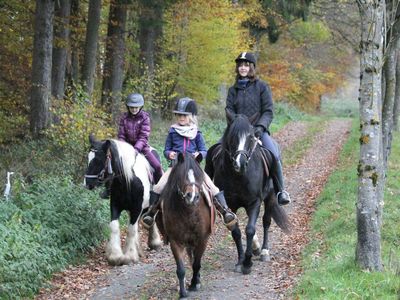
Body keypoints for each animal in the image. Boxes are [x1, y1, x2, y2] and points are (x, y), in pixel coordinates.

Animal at [85, 135, 162, 266]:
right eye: (88, 158)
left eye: (99, 160)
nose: (87, 183)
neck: (128, 181)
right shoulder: (115, 205)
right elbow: (115, 226)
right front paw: (115, 256)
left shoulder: (137, 208)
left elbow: (131, 229)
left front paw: (130, 256)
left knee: (151, 218)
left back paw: (154, 242)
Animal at [156, 154, 214, 298]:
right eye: (181, 176)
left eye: (199, 176)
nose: (192, 196)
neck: (189, 212)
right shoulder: (175, 241)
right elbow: (181, 268)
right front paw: (183, 292)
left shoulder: (203, 239)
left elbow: (196, 264)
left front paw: (194, 284)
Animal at [205, 112, 290, 274]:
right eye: (232, 137)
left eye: (250, 137)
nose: (241, 163)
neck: (239, 176)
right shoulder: (231, 204)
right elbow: (236, 232)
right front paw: (240, 261)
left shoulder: (254, 202)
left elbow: (250, 229)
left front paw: (247, 262)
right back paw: (256, 248)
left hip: (270, 197)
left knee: (266, 221)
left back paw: (264, 251)